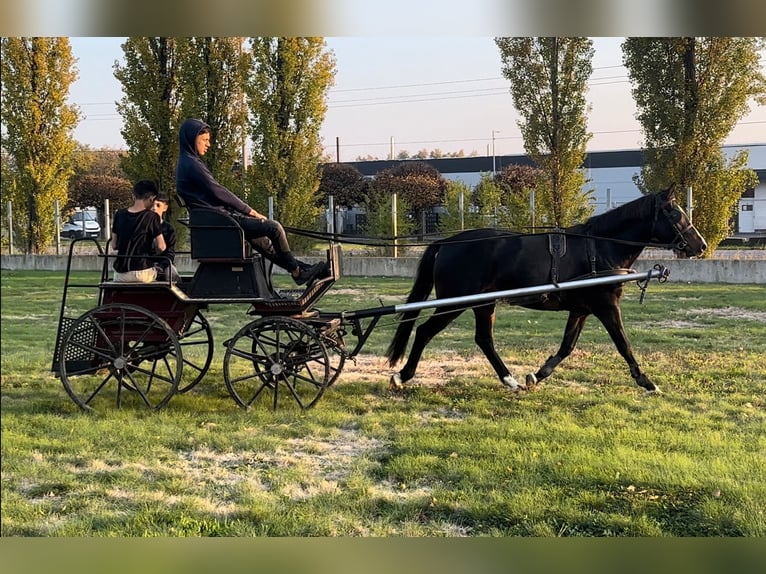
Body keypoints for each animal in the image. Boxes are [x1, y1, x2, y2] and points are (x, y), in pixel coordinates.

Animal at [390, 187, 708, 394]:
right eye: (675, 213)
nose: (701, 245)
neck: (600, 247)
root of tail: (446, 243)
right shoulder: (606, 307)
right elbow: (623, 345)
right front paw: (647, 382)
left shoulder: (581, 310)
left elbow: (567, 346)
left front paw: (537, 375)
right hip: (453, 303)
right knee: (425, 332)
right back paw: (403, 376)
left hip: (483, 304)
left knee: (484, 340)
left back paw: (510, 381)